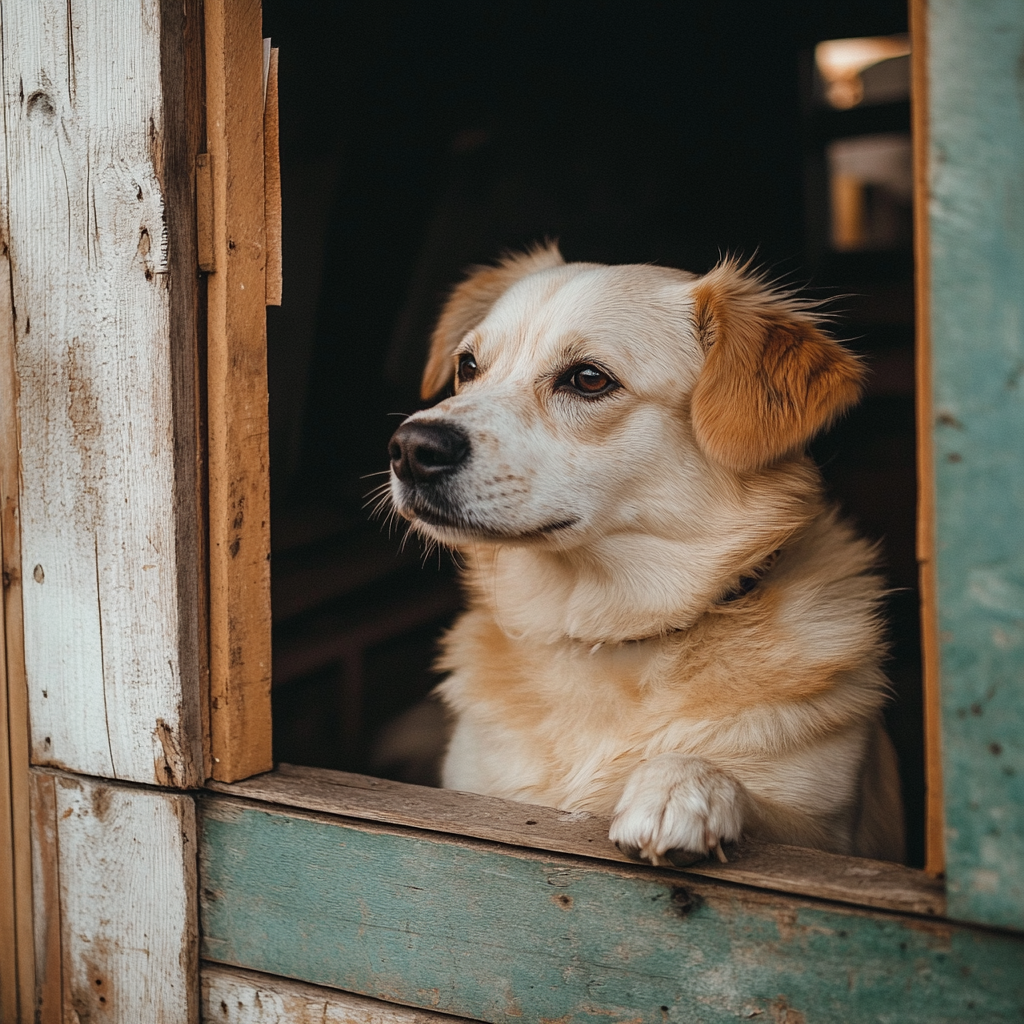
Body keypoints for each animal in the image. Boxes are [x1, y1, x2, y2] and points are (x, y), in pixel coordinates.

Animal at [385, 243, 905, 868]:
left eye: (588, 379)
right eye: (467, 366)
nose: (410, 449)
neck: (607, 635)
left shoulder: (834, 834)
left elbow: (758, 803)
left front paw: (681, 784)